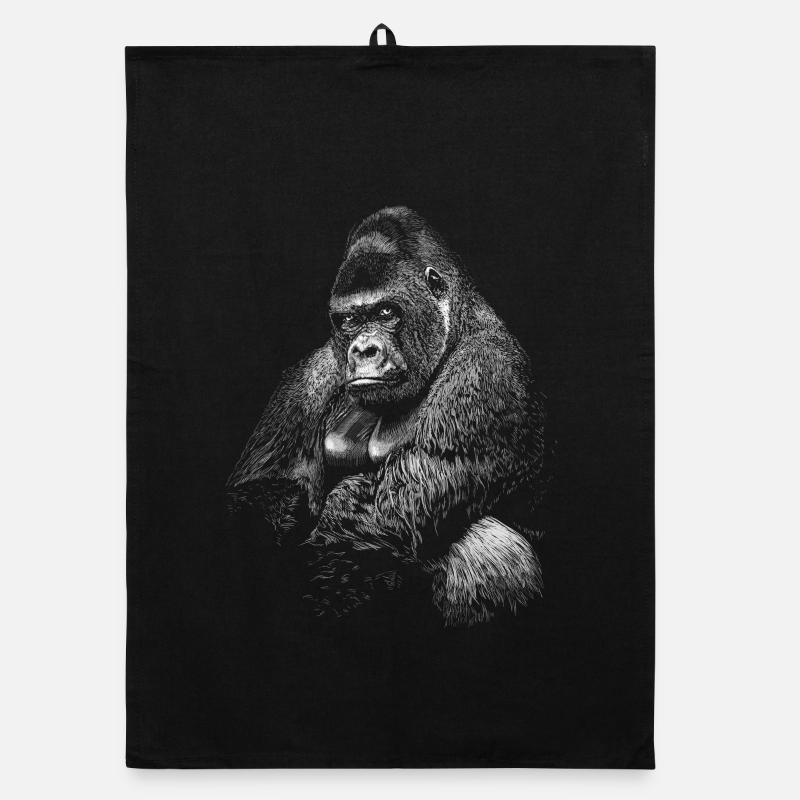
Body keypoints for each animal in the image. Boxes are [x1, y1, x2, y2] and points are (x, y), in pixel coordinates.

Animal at [228, 207, 546, 626]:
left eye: (385, 311)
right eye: (348, 320)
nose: (364, 350)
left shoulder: (487, 374)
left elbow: (383, 514)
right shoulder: (312, 374)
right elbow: (266, 488)